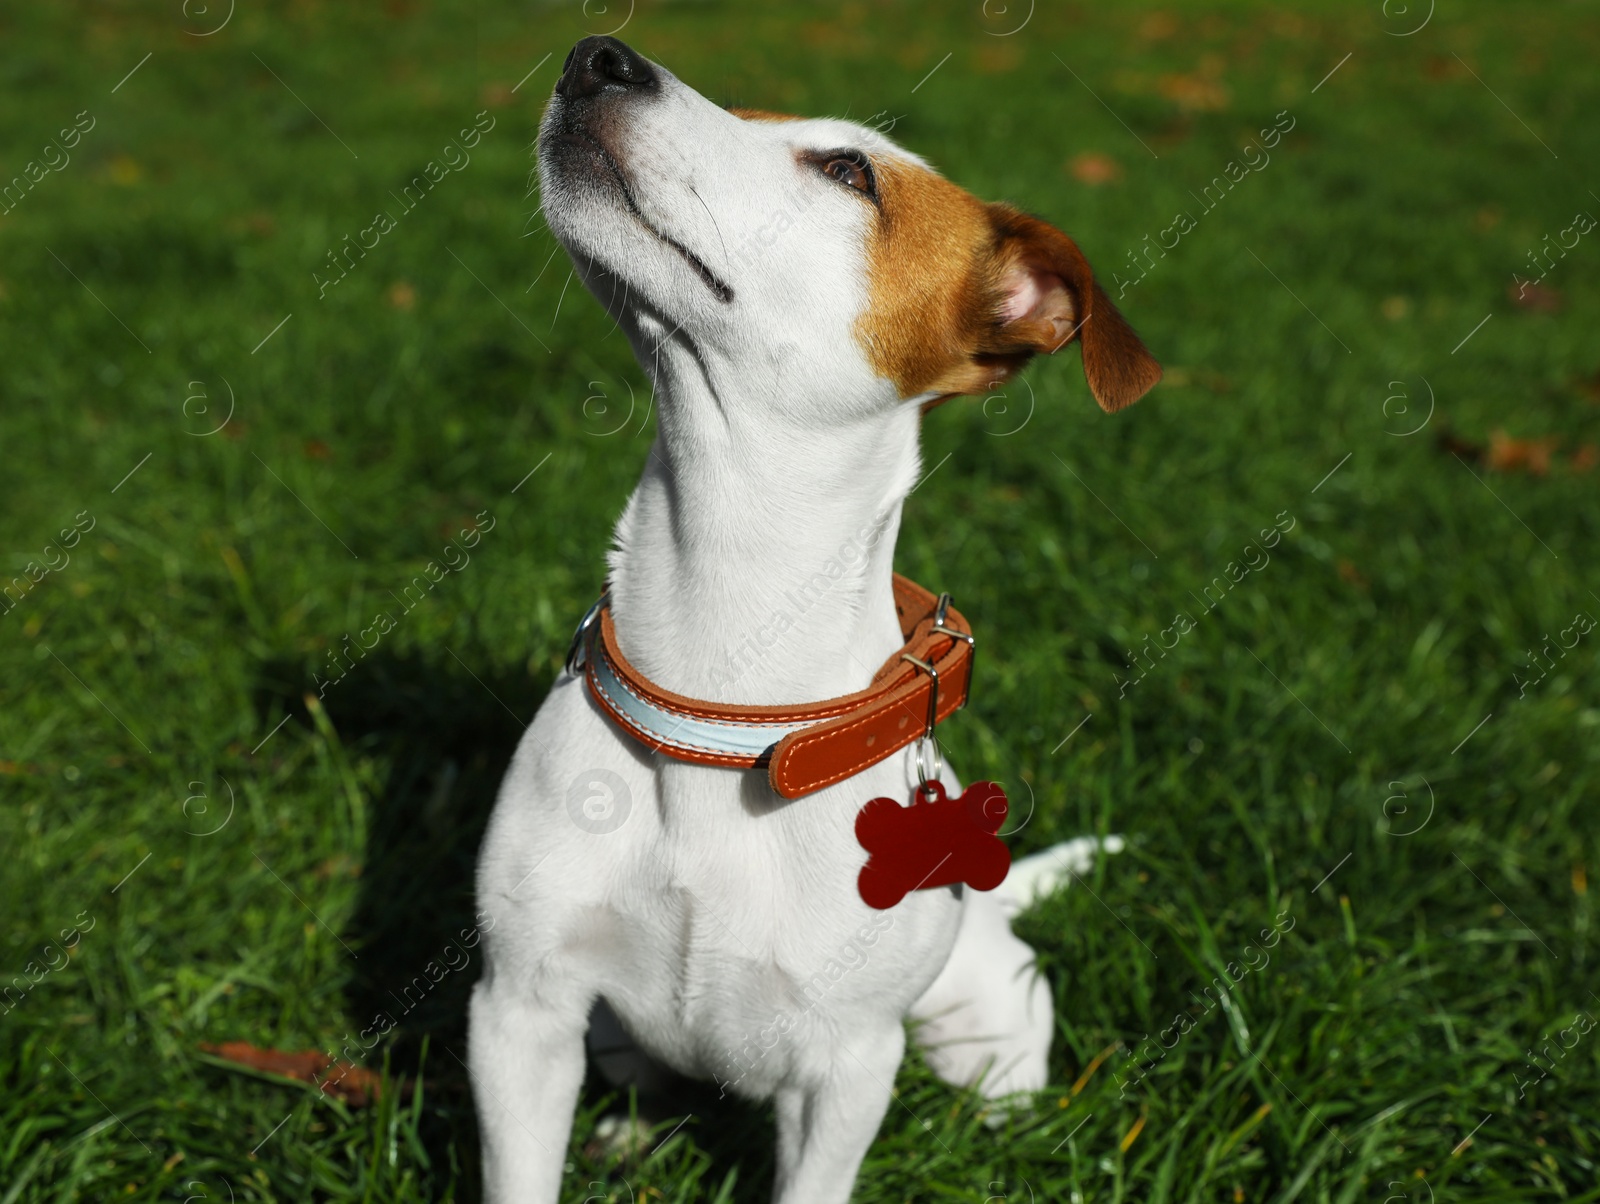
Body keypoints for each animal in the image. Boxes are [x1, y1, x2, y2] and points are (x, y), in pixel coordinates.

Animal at [467, 37, 1158, 1204]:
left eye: (846, 171)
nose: (598, 55)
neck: (719, 685)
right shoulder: (521, 1010)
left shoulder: (846, 1068)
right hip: (609, 1040)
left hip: (983, 1027)